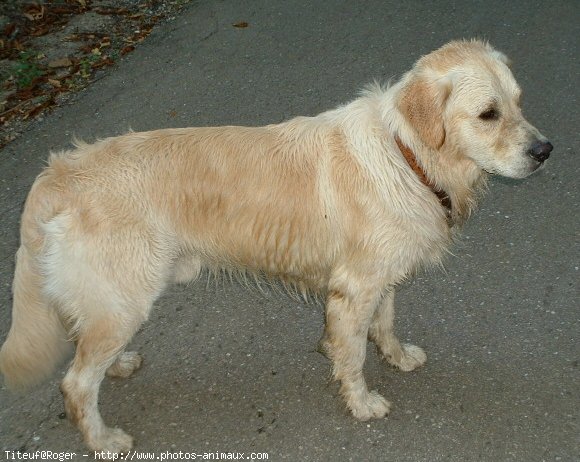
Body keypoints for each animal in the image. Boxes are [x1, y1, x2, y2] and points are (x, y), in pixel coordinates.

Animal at [0, 39, 552, 452]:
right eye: (487, 114)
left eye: (520, 102)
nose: (545, 151)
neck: (407, 154)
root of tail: (55, 174)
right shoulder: (353, 288)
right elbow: (352, 354)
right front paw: (362, 403)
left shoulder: (381, 275)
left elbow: (386, 325)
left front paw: (396, 357)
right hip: (124, 298)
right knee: (75, 384)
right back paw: (104, 440)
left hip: (110, 301)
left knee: (84, 346)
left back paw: (119, 365)